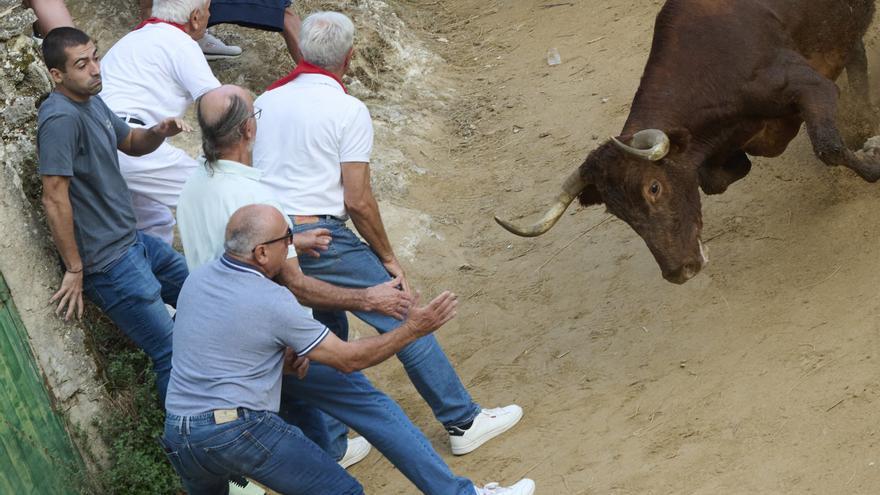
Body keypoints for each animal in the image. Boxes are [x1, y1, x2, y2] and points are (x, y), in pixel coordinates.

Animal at [494, 0, 879, 284]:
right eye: (616, 212)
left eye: (654, 188)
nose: (680, 272)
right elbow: (713, 180)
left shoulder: (812, 87)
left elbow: (829, 146)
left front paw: (873, 152)